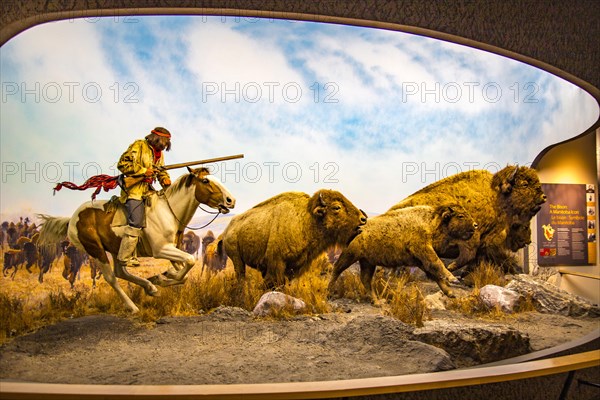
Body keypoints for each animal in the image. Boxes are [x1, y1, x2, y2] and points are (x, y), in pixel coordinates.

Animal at [38, 166, 234, 312]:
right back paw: (133, 307)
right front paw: (162, 278)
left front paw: (163, 277)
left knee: (120, 272)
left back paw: (150, 287)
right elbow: (189, 262)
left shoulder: (173, 249)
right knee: (111, 278)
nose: (231, 200)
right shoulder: (161, 250)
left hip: (116, 249)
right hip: (95, 250)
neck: (168, 211)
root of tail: (71, 220)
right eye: (205, 181)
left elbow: (184, 272)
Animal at [223, 190, 368, 288]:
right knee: (240, 275)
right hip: (237, 259)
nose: (363, 219)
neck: (307, 220)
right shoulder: (277, 263)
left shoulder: (297, 265)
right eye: (336, 207)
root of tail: (228, 229)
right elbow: (274, 282)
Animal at [326, 205, 476, 298]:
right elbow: (437, 264)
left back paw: (377, 302)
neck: (431, 222)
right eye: (460, 216)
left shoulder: (420, 261)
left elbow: (434, 274)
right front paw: (453, 279)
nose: (475, 225)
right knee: (337, 269)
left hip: (367, 262)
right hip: (350, 255)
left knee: (365, 279)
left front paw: (450, 293)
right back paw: (328, 292)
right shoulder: (425, 252)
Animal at [386, 164, 548, 274]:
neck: (495, 197)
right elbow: (472, 255)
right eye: (524, 184)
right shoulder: (480, 238)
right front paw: (452, 267)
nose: (543, 197)